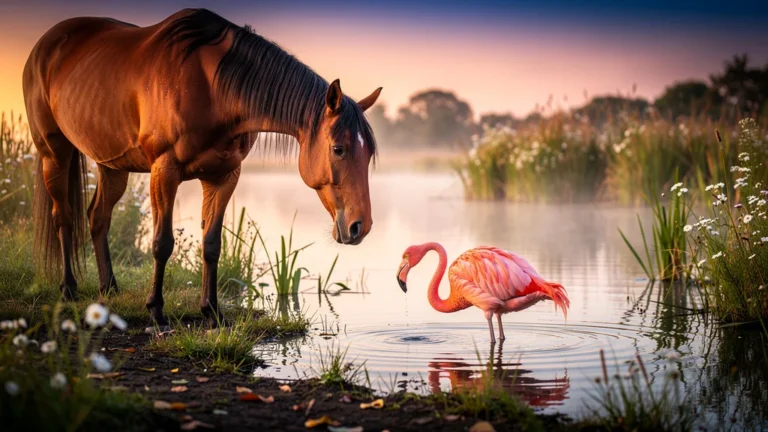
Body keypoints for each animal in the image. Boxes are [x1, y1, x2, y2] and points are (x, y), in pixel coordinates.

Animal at [22, 8, 383, 330]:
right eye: (338, 149)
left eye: (368, 155)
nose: (359, 227)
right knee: (64, 217)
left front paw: (212, 313)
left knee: (97, 217)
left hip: (111, 165)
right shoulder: (164, 172)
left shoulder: (223, 177)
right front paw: (157, 313)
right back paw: (68, 289)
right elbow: (162, 243)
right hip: (54, 154)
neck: (214, 88)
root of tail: (44, 46)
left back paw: (108, 289)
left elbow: (212, 244)